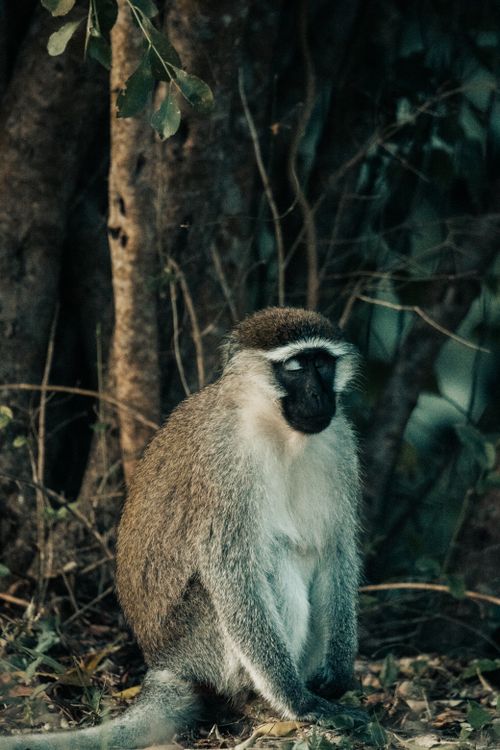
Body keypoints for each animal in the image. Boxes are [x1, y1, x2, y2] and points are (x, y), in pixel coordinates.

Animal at [0, 307, 365, 750]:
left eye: (323, 364)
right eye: (295, 367)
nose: (318, 397)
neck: (275, 429)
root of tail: (167, 662)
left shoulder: (339, 442)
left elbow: (337, 550)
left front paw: (339, 672)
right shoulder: (222, 461)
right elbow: (231, 571)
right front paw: (298, 701)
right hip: (199, 641)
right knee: (271, 562)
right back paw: (260, 700)